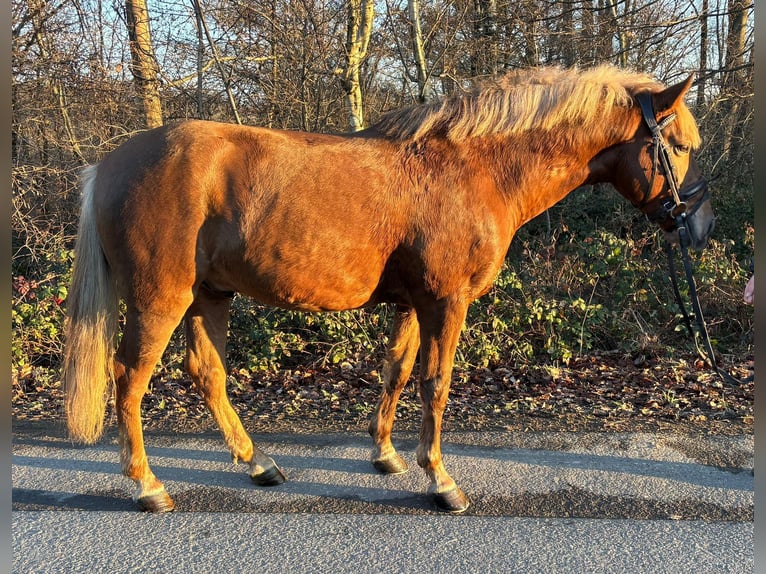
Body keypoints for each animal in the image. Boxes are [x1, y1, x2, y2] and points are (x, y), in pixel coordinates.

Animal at [62, 64, 715, 513]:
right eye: (679, 147)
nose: (699, 225)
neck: (476, 170)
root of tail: (107, 166)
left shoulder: (412, 304)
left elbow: (397, 372)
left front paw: (386, 455)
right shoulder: (446, 302)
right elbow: (437, 383)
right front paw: (442, 481)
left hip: (209, 295)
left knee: (206, 372)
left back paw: (259, 464)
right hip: (161, 299)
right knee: (129, 379)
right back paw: (148, 486)